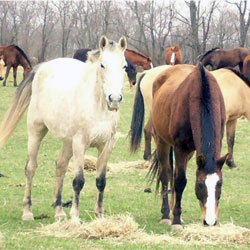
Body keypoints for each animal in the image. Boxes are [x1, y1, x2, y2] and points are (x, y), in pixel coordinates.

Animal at [0, 35, 127, 223]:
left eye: (124, 66)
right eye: (102, 65)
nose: (115, 99)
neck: (98, 107)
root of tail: (43, 67)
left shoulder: (107, 145)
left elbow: (101, 181)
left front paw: (99, 216)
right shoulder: (80, 143)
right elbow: (79, 181)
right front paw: (75, 217)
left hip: (68, 142)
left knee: (60, 166)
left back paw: (59, 211)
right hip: (36, 131)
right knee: (30, 168)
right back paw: (27, 211)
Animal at [131, 63, 227, 230]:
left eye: (219, 184)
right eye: (200, 184)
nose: (210, 221)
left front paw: (178, 216)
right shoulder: (180, 148)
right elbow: (180, 181)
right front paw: (175, 220)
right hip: (162, 142)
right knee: (166, 174)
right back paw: (166, 214)